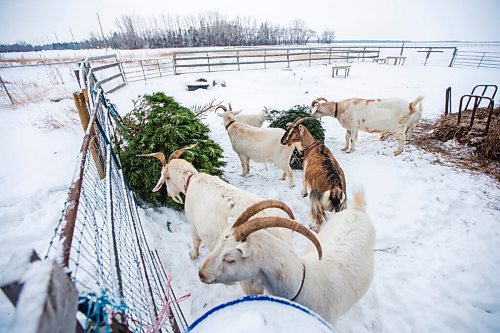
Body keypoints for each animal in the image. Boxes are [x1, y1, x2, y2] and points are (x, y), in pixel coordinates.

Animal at [138, 145, 292, 294]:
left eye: (166, 179)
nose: (170, 195)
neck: (192, 179)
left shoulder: (193, 223)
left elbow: (196, 241)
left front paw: (193, 255)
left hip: (249, 277)